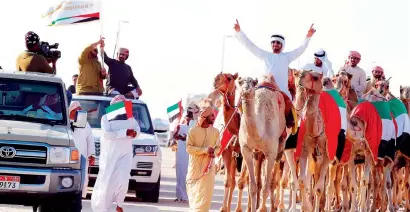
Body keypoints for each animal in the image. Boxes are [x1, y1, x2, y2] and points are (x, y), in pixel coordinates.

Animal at [237, 74, 286, 212]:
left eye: (252, 83)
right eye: (240, 82)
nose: (246, 90)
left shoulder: (271, 152)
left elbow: (266, 187)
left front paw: (262, 209)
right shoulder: (246, 149)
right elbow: (252, 187)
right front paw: (253, 208)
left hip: (279, 151)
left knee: (272, 182)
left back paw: (274, 207)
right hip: (257, 154)